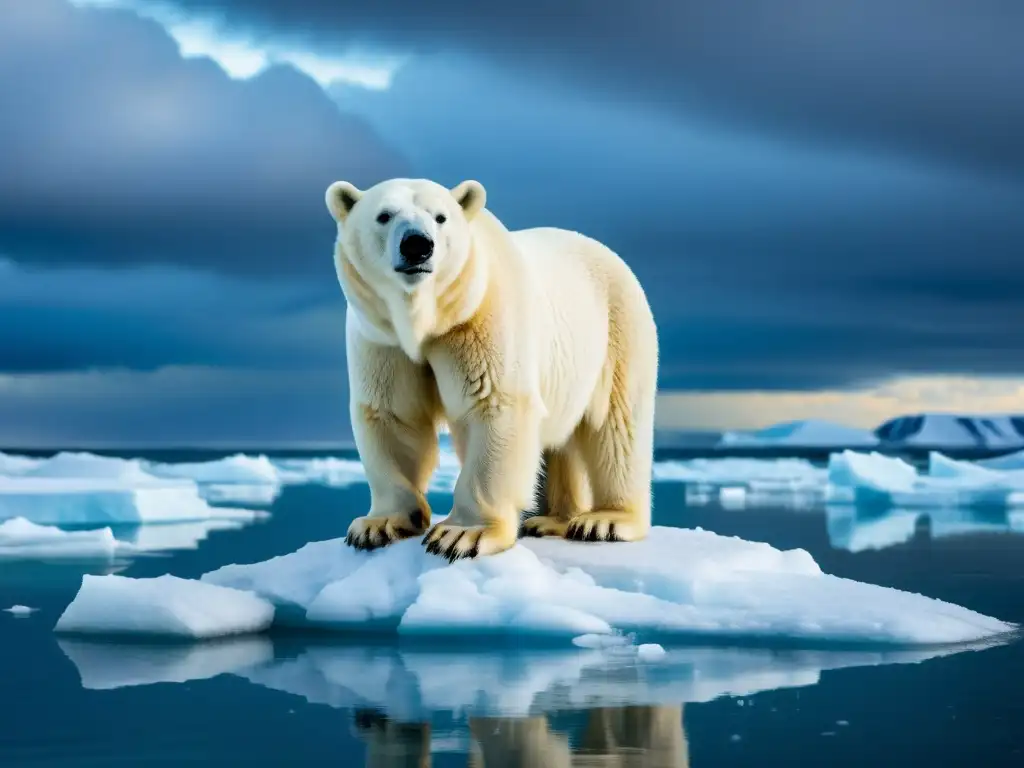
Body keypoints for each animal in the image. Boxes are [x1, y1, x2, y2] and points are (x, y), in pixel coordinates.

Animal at [329, 177, 663, 561]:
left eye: (440, 217)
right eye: (384, 215)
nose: (417, 245)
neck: (428, 320)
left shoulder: (482, 318)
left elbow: (494, 405)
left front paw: (461, 534)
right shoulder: (382, 338)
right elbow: (394, 414)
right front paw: (377, 525)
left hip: (616, 329)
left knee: (616, 422)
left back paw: (605, 521)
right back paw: (551, 520)